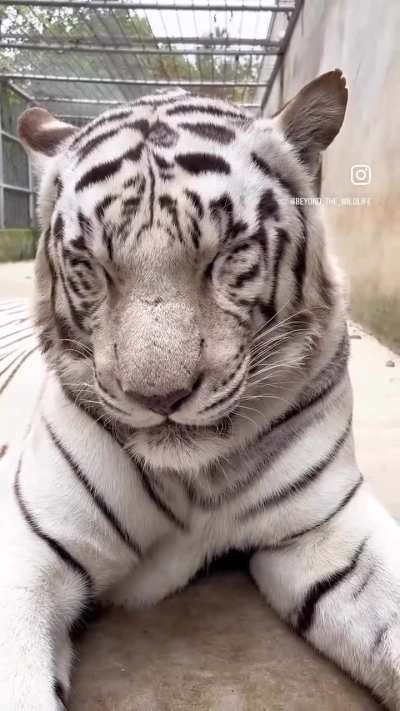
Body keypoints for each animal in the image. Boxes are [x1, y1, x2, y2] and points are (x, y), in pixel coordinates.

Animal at [1, 68, 400, 711]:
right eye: (92, 268)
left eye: (226, 255)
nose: (159, 398)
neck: (196, 481)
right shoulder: (28, 546)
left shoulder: (327, 525)